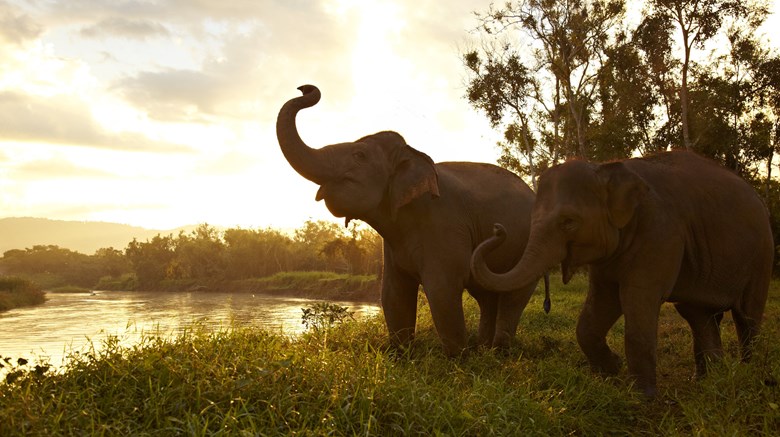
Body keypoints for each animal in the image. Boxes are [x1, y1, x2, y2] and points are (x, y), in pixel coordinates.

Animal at [276, 84, 543, 356]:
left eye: (359, 155)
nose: (305, 88)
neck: (413, 154)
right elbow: (393, 293)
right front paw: (401, 355)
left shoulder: (444, 224)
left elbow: (442, 289)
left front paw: (457, 359)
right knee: (487, 296)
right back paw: (485, 350)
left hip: (529, 247)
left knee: (512, 296)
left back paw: (498, 352)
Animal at [470, 150, 774, 397]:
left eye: (568, 222)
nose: (498, 229)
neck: (605, 168)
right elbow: (599, 306)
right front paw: (611, 371)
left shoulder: (660, 232)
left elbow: (637, 300)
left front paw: (643, 397)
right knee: (698, 315)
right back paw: (707, 381)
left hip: (761, 255)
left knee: (747, 316)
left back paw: (750, 377)